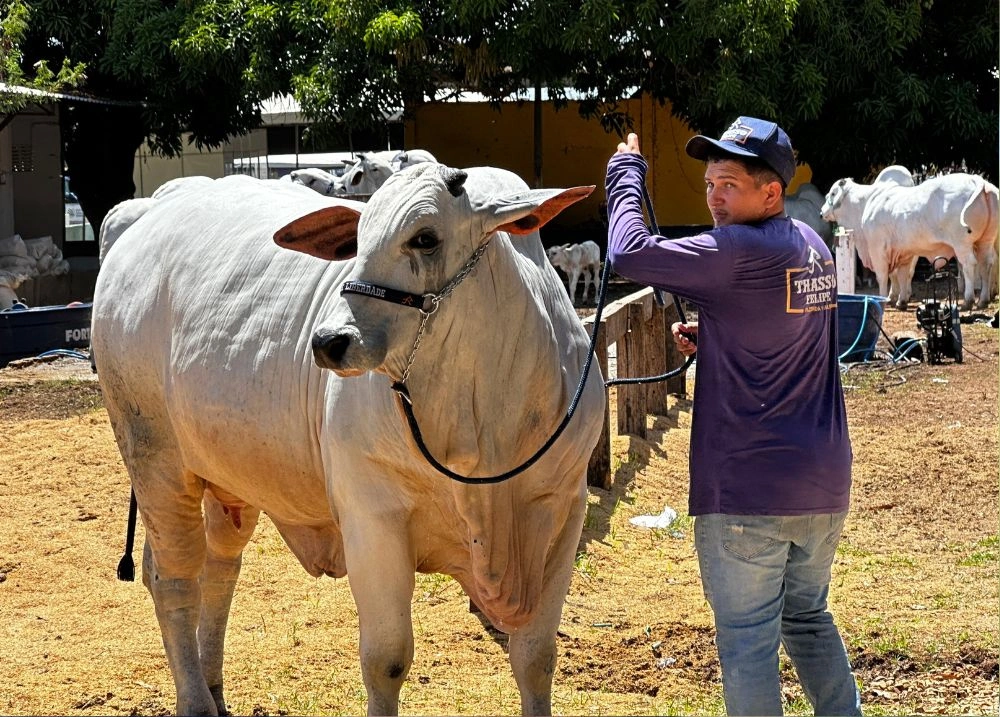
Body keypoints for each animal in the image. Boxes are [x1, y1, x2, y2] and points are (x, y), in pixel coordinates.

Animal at [91, 166, 605, 716]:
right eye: (356, 240)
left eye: (425, 238)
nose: (327, 341)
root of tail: (148, 212)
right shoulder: (372, 516)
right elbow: (387, 660)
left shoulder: (563, 511)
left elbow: (536, 656)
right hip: (155, 459)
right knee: (174, 580)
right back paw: (195, 700)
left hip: (226, 479)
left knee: (219, 567)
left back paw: (213, 686)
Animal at [821, 172, 999, 310]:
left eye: (832, 193)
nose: (822, 212)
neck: (865, 203)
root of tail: (977, 180)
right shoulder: (903, 252)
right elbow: (901, 275)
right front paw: (900, 301)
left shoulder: (877, 249)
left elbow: (883, 276)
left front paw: (883, 299)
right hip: (985, 241)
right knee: (986, 264)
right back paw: (983, 300)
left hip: (961, 243)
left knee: (969, 265)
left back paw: (968, 301)